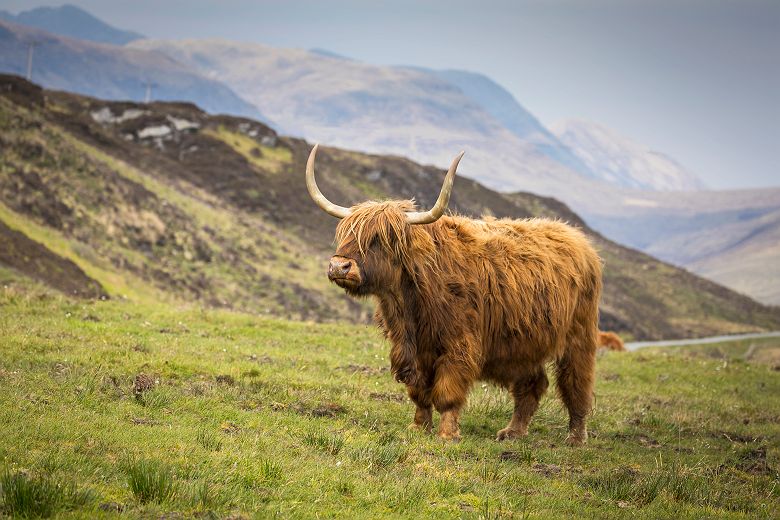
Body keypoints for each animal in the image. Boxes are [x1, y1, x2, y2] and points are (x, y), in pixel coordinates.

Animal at [304, 144, 604, 444]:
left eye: (381, 238)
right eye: (345, 233)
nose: (339, 266)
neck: (407, 304)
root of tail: (579, 240)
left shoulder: (458, 345)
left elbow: (448, 391)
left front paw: (447, 434)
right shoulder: (414, 350)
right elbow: (419, 392)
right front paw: (418, 426)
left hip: (579, 337)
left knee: (577, 385)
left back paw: (576, 438)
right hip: (526, 342)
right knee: (532, 383)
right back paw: (513, 432)